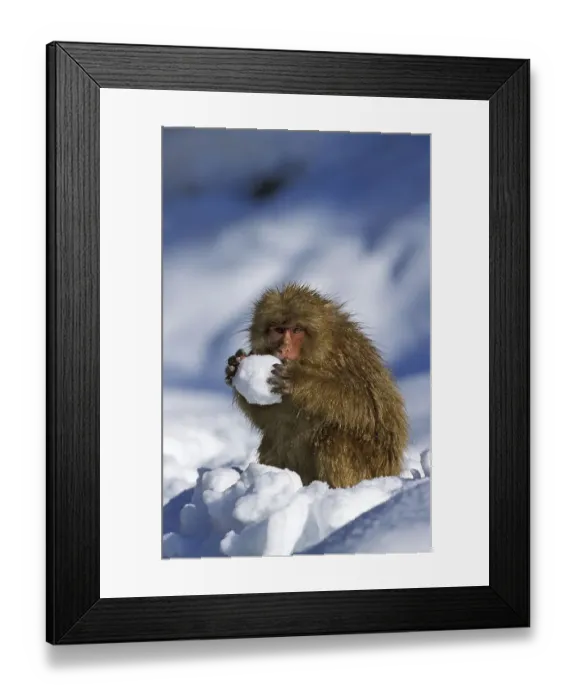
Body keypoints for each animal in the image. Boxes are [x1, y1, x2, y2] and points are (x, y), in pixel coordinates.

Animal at [224, 283, 409, 489]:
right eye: (279, 330)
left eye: (297, 330)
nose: (284, 347)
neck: (315, 355)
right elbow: (268, 420)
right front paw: (234, 367)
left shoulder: (349, 354)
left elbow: (369, 407)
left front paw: (299, 381)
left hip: (372, 467)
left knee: (335, 437)